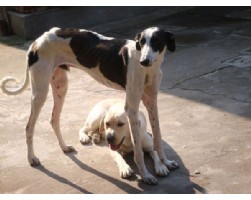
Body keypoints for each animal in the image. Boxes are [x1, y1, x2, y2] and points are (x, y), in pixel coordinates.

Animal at [1, 26, 178, 184]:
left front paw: (165, 162)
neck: (148, 67)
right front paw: (146, 175)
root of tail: (38, 40)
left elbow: (157, 138)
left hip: (60, 87)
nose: (144, 61)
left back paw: (64, 147)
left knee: (54, 119)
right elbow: (138, 151)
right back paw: (31, 158)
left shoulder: (151, 102)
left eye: (157, 41)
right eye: (141, 42)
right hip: (40, 92)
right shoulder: (132, 109)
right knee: (29, 127)